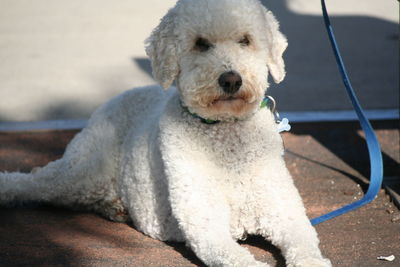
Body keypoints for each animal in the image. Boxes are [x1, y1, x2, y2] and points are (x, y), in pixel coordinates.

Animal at [0, 0, 332, 266]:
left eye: (245, 40)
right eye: (201, 43)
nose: (231, 79)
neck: (225, 134)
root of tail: (118, 97)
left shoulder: (284, 211)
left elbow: (304, 242)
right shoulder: (206, 223)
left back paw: (115, 207)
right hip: (81, 171)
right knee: (34, 182)